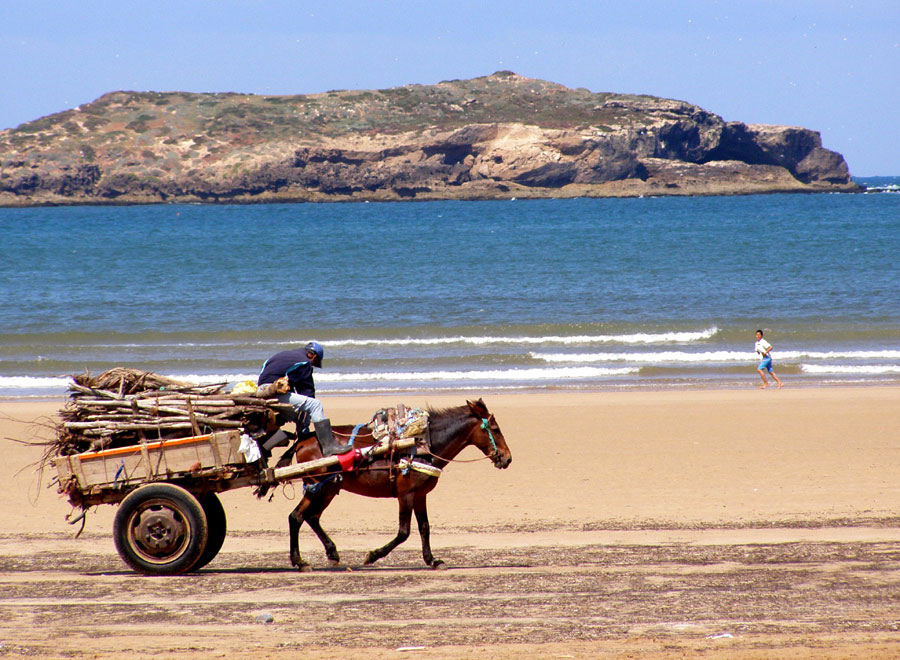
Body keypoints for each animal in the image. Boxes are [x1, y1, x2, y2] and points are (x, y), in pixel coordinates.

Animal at [284, 398, 512, 572]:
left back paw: (329, 552)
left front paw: (432, 560)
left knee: (309, 517)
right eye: (494, 429)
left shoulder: (420, 495)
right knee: (297, 517)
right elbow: (404, 532)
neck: (422, 444)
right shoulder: (406, 494)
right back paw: (300, 561)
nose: (507, 458)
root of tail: (303, 440)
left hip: (328, 489)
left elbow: (424, 528)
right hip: (319, 487)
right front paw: (373, 555)